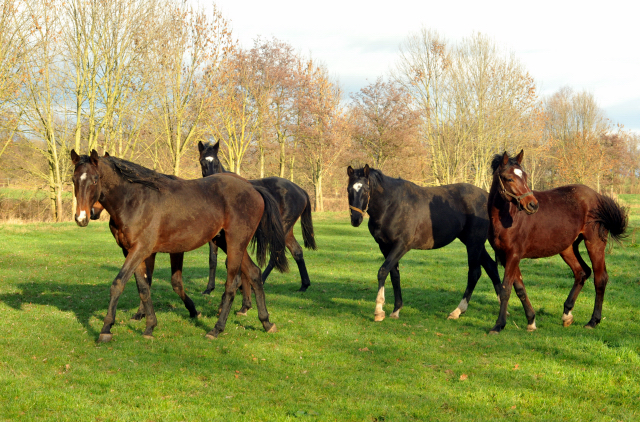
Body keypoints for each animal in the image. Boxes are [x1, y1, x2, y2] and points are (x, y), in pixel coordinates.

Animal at [69, 150, 286, 342]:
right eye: (73, 180)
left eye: (95, 179)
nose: (82, 217)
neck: (135, 200)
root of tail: (252, 188)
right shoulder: (132, 251)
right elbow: (143, 287)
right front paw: (150, 326)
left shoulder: (141, 250)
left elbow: (118, 284)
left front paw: (106, 329)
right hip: (226, 242)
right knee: (255, 273)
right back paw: (266, 322)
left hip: (235, 243)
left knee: (232, 284)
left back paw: (216, 329)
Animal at [195, 140, 316, 298]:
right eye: (202, 161)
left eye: (216, 161)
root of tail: (300, 190)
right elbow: (212, 260)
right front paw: (209, 288)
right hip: (286, 231)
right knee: (297, 252)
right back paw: (304, 285)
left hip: (281, 229)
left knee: (275, 255)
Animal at [348, 163, 502, 322]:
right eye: (349, 189)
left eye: (366, 190)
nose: (356, 219)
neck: (392, 205)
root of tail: (486, 196)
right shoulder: (384, 247)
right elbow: (394, 275)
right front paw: (396, 310)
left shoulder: (401, 245)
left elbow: (383, 271)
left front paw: (379, 311)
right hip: (473, 242)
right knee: (491, 267)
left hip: (474, 242)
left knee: (474, 273)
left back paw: (457, 311)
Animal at [488, 151, 628, 332]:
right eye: (509, 178)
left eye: (524, 176)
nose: (532, 205)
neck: (506, 218)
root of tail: (598, 197)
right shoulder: (506, 257)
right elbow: (519, 289)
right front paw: (531, 321)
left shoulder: (513, 255)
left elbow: (506, 290)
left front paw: (498, 325)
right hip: (567, 248)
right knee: (582, 272)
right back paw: (567, 314)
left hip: (594, 243)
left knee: (600, 278)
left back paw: (592, 321)